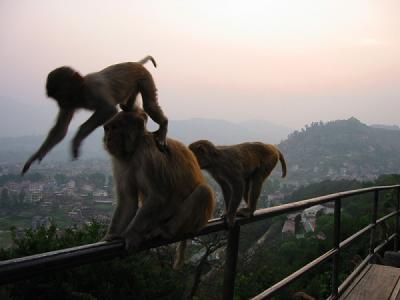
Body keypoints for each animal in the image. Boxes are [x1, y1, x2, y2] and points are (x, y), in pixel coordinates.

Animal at [21, 55, 167, 175]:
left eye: (61, 96)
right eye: (57, 99)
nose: (60, 103)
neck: (81, 91)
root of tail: (136, 63)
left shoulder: (94, 89)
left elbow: (108, 110)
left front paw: (77, 139)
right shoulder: (69, 105)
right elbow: (61, 128)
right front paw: (36, 156)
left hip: (144, 77)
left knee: (149, 105)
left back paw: (163, 126)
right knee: (127, 106)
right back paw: (135, 110)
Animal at [102, 108, 216, 270]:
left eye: (115, 128)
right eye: (107, 128)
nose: (107, 138)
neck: (134, 150)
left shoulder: (149, 156)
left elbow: (158, 195)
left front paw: (130, 234)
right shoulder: (120, 162)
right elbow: (128, 201)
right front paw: (110, 236)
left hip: (196, 222)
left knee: (203, 192)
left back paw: (166, 230)